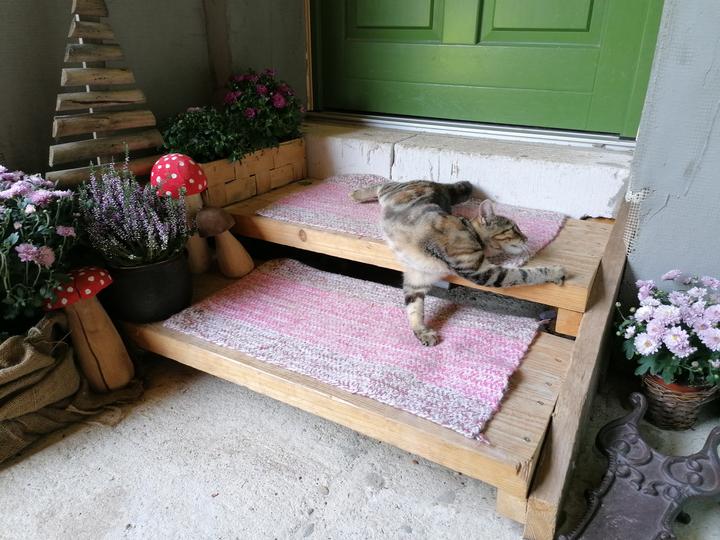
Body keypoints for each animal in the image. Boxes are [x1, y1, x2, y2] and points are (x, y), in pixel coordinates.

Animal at [351, 180, 566, 346]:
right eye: (514, 229)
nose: (526, 238)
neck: (472, 233)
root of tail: (436, 185)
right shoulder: (483, 272)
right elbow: (526, 274)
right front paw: (556, 271)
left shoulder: (418, 277)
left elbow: (414, 308)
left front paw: (421, 331)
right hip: (389, 192)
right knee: (383, 183)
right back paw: (357, 193)